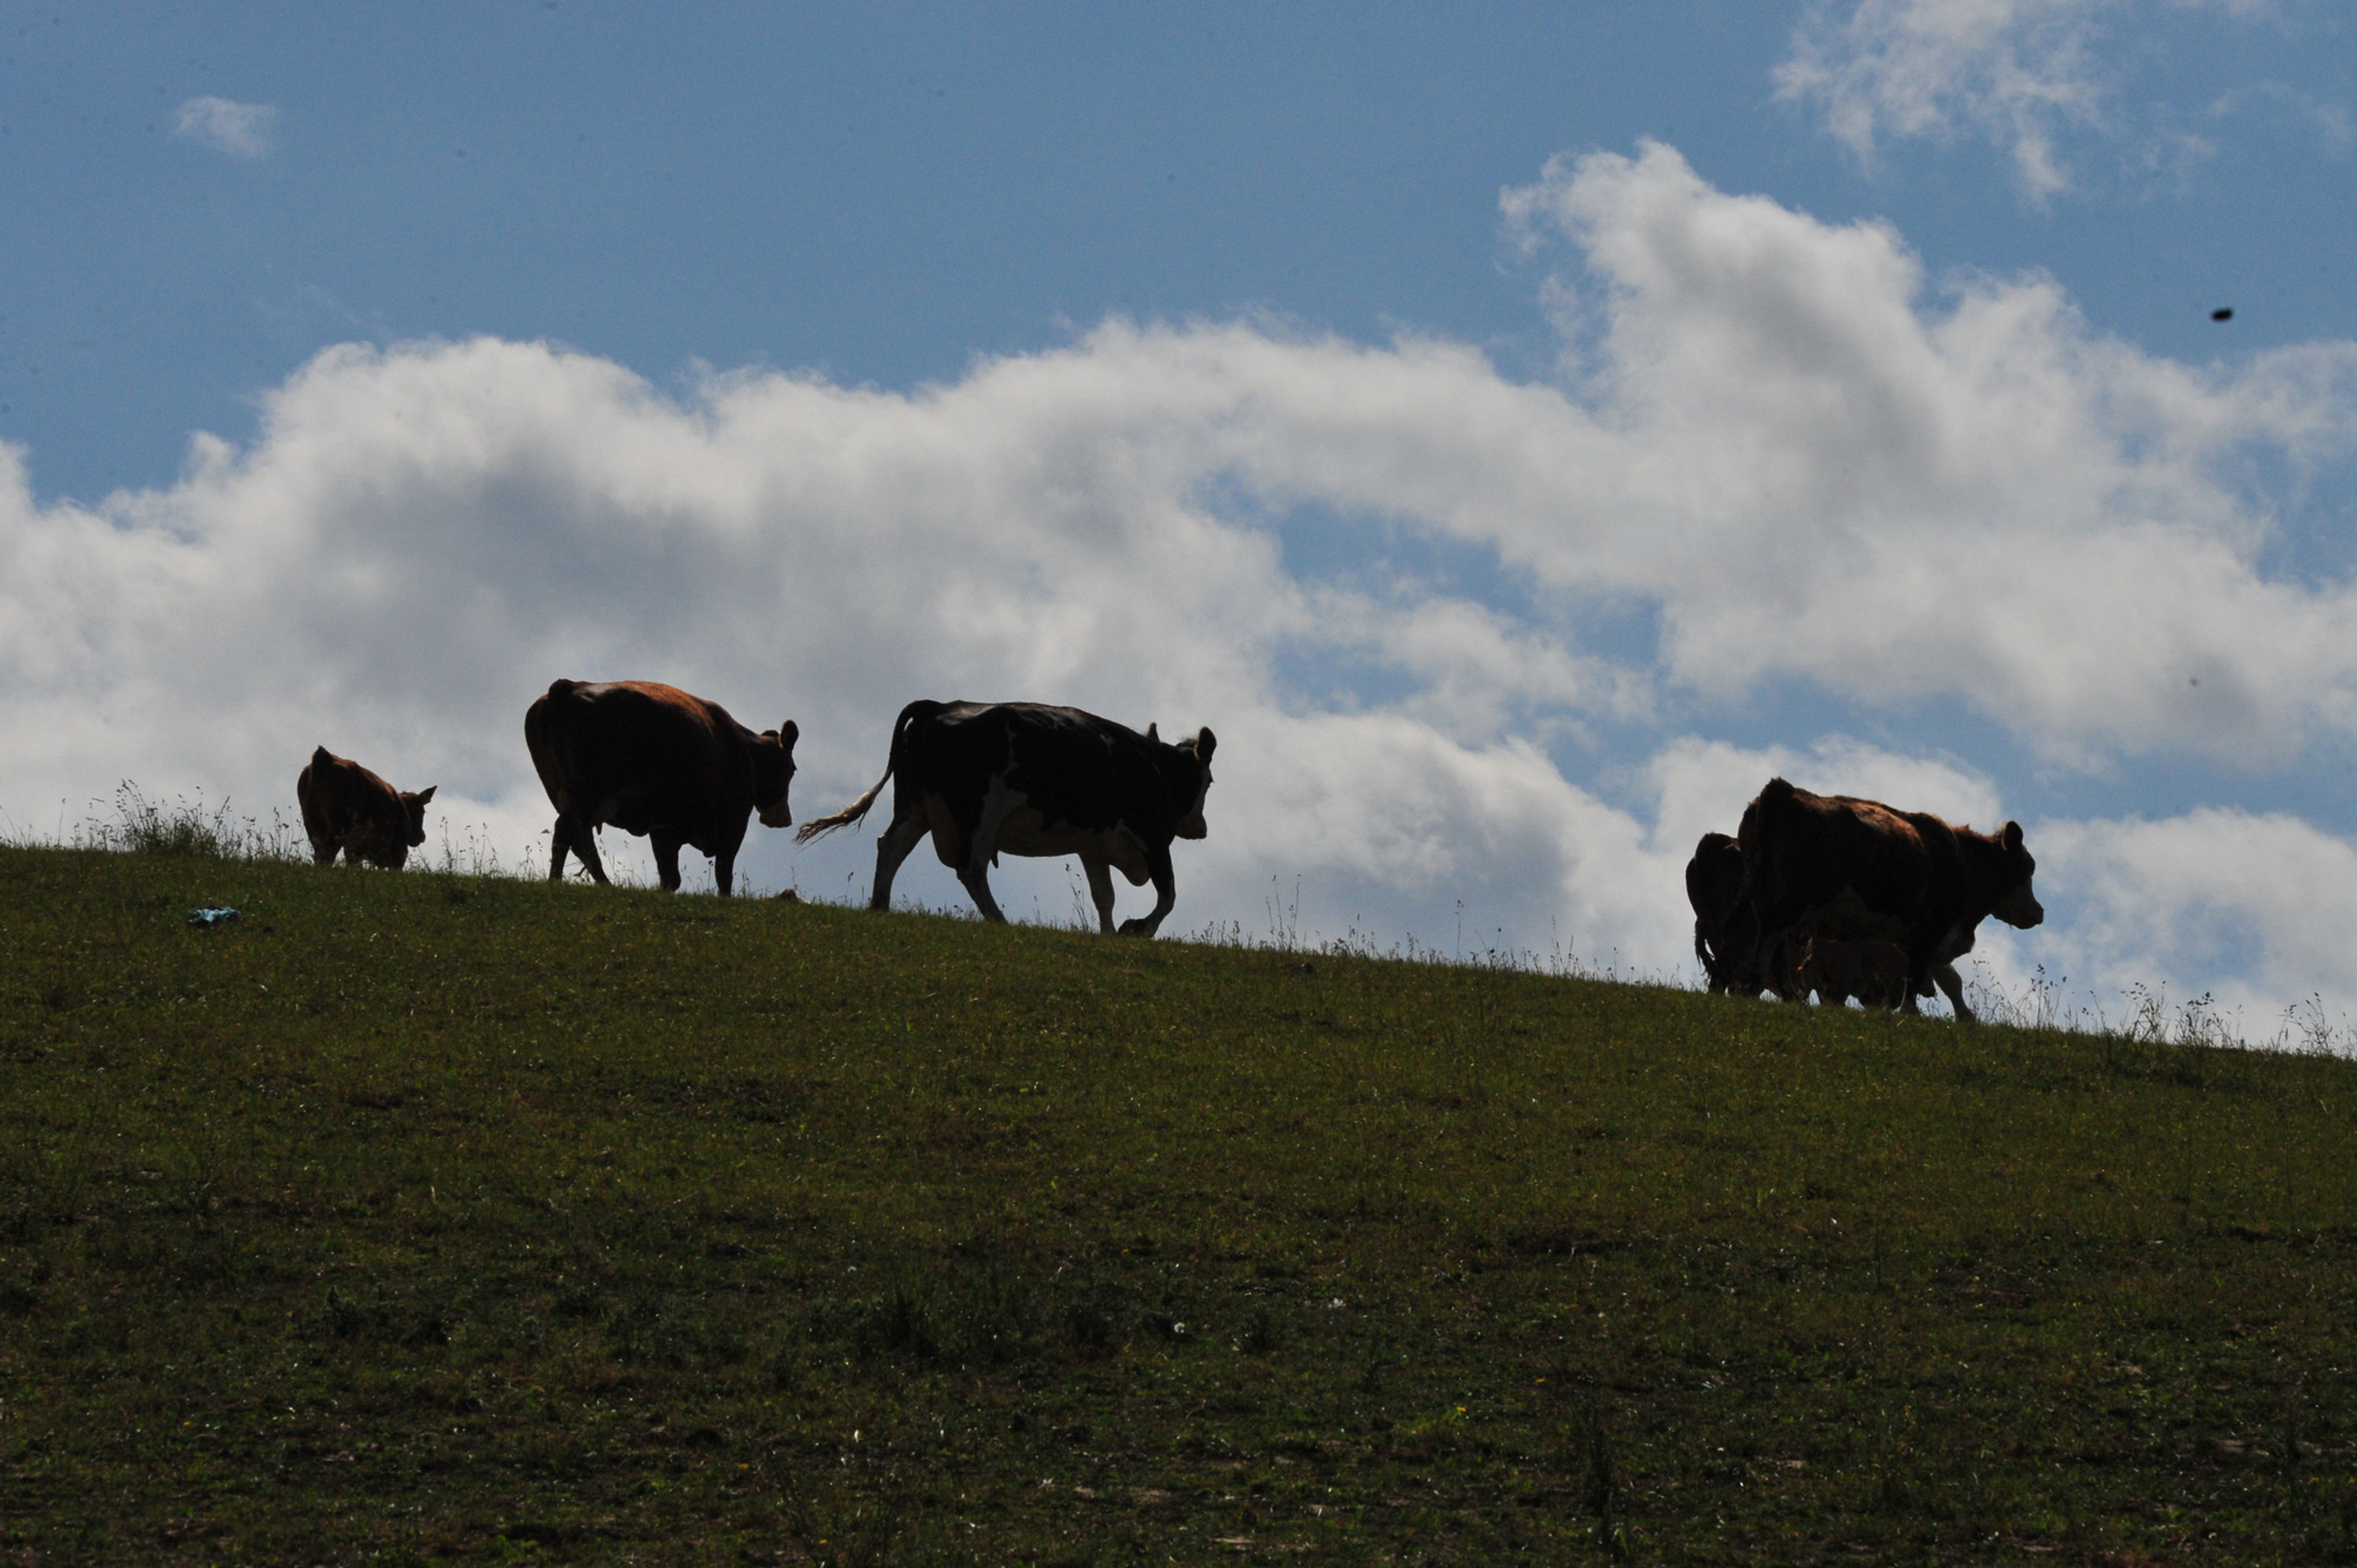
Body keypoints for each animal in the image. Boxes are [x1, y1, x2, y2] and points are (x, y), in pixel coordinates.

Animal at [297, 747, 436, 870]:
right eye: (422, 811)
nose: (421, 836)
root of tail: (324, 758)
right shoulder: (398, 851)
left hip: (312, 822)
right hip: (338, 825)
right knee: (327, 855)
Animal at [523, 679, 799, 897]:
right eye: (792, 770)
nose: (784, 819)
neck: (744, 748)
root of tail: (569, 686)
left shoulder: (664, 826)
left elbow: (670, 876)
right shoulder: (735, 820)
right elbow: (723, 872)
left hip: (565, 793)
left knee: (574, 838)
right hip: (587, 792)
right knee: (572, 835)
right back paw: (573, 882)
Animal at [796, 700, 1216, 936]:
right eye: (1209, 781)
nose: (1201, 829)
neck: (1155, 765)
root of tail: (938, 706)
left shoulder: (1093, 845)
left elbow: (1104, 897)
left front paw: (1110, 934)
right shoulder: (1154, 839)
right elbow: (1168, 895)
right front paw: (1138, 929)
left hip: (915, 807)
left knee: (891, 847)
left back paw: (880, 906)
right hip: (980, 815)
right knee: (971, 869)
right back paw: (999, 920)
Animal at [1736, 777, 2041, 1021]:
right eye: (2027, 868)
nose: (2039, 913)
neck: (1962, 859)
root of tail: (1784, 789)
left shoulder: (1921, 937)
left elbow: (1944, 977)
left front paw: (1965, 1018)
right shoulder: (1933, 928)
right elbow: (1917, 975)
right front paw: (1910, 1013)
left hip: (1762, 893)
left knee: (1775, 948)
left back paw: (1788, 997)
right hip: (1796, 898)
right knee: (1772, 939)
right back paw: (1760, 988)